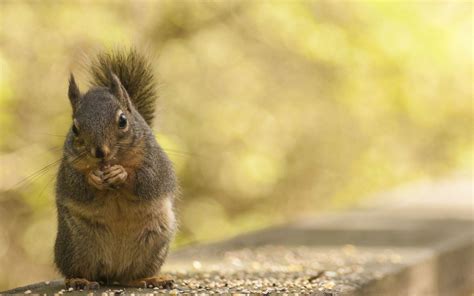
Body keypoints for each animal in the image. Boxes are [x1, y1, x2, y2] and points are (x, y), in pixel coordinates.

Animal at [53, 49, 176, 290]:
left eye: (122, 120)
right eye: (75, 128)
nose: (100, 152)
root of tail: (111, 274)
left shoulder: (156, 163)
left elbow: (149, 180)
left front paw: (121, 174)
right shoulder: (67, 170)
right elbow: (77, 186)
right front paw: (93, 177)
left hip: (153, 243)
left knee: (130, 277)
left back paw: (149, 279)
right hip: (75, 245)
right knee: (81, 270)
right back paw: (78, 280)